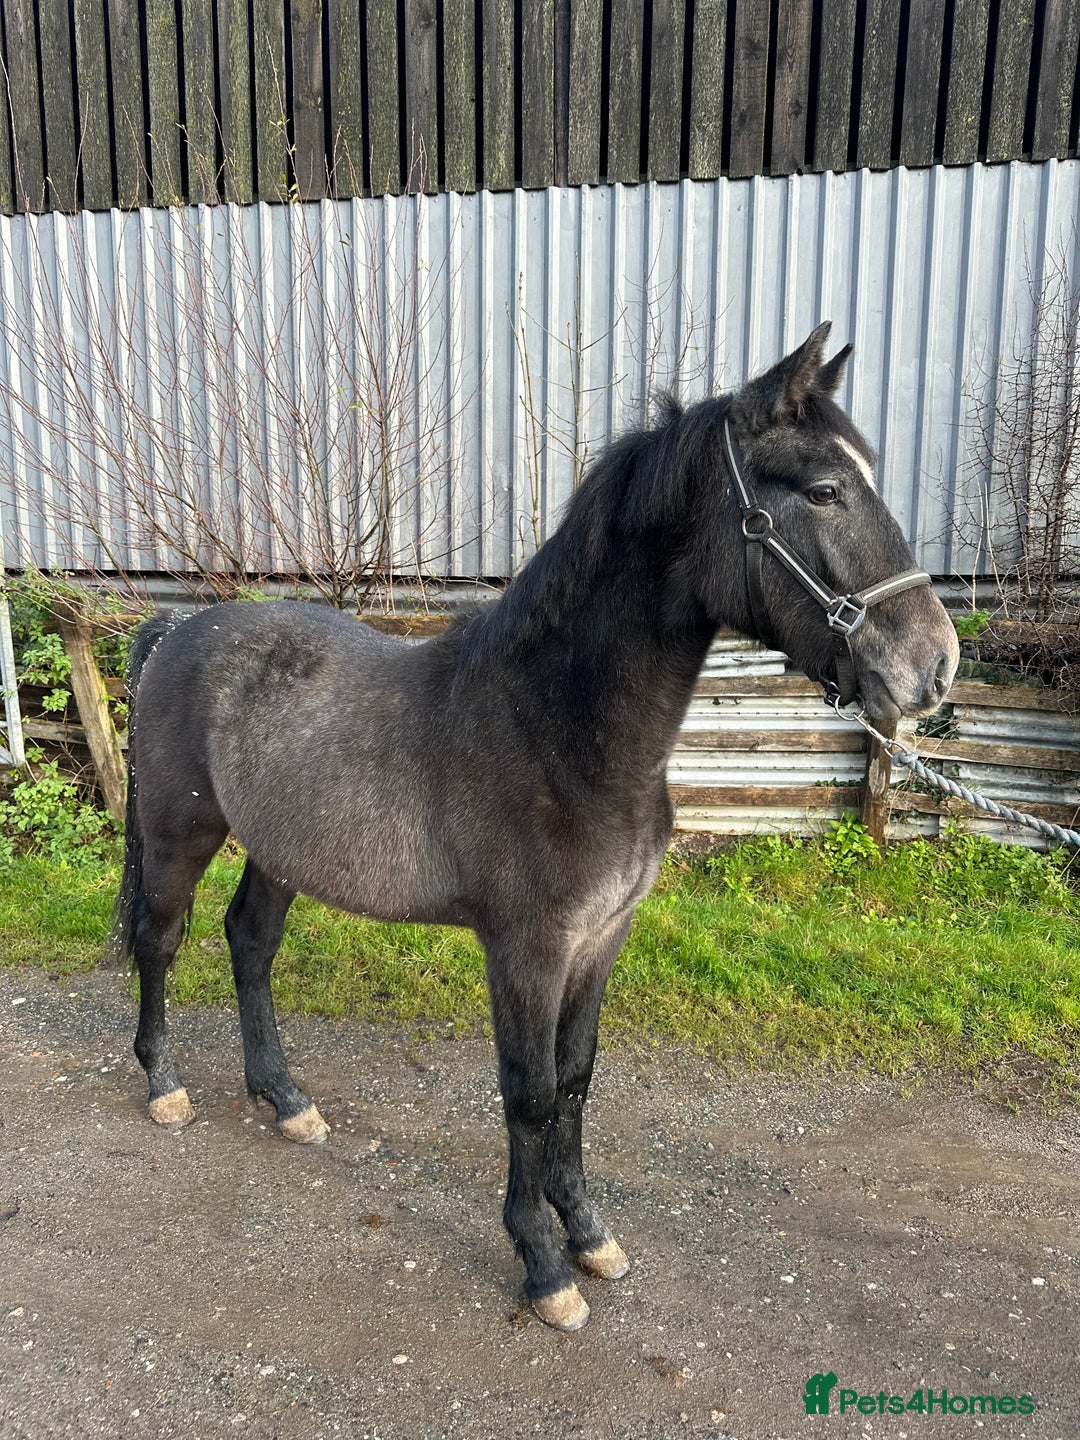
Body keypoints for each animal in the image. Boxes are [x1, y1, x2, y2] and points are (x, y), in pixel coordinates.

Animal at [110, 324, 959, 1331]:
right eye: (824, 490)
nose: (935, 666)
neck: (555, 727)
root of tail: (176, 632)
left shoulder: (601, 938)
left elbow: (578, 1079)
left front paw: (588, 1232)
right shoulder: (526, 949)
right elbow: (530, 1093)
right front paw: (544, 1264)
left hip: (281, 851)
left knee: (249, 943)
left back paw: (286, 1100)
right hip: (178, 837)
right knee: (161, 943)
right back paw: (165, 1088)